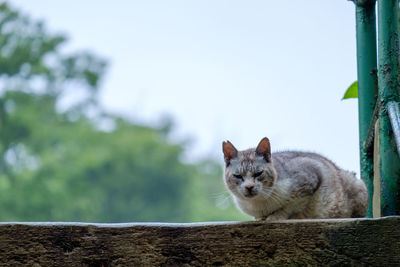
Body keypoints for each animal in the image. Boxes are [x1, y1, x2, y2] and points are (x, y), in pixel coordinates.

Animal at [222, 137, 368, 221]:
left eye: (258, 173)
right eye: (238, 176)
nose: (249, 187)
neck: (260, 204)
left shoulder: (310, 179)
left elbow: (290, 206)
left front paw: (275, 216)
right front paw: (260, 218)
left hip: (358, 186)